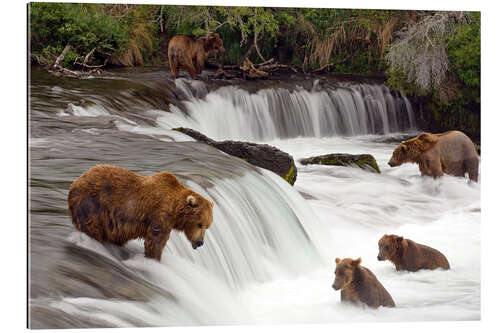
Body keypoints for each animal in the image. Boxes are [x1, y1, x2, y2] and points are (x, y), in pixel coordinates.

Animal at [67, 165, 215, 260]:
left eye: (207, 226)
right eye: (200, 224)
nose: (200, 242)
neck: (175, 211)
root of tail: (75, 182)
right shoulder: (159, 216)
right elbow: (155, 241)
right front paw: (154, 258)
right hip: (93, 203)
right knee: (92, 226)